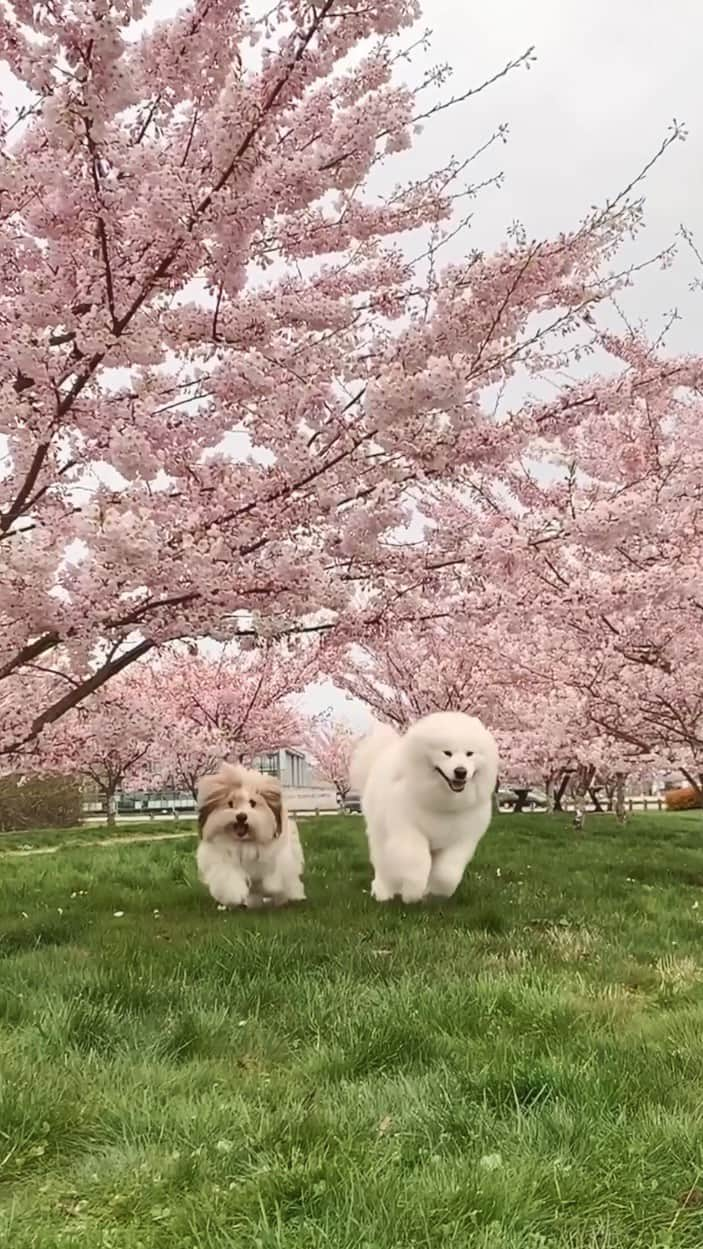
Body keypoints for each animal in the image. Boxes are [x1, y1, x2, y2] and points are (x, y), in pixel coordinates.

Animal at [194, 759, 305, 909]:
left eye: (252, 803)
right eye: (230, 803)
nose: (241, 816)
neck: (244, 842)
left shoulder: (278, 857)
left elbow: (273, 878)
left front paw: (272, 889)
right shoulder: (221, 859)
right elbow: (228, 878)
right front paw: (234, 895)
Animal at [354, 714, 496, 909]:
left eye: (470, 753)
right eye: (447, 753)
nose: (461, 771)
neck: (442, 805)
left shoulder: (462, 839)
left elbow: (447, 873)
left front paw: (434, 892)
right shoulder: (408, 832)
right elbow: (416, 864)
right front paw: (412, 894)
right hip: (380, 833)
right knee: (383, 864)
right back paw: (383, 892)